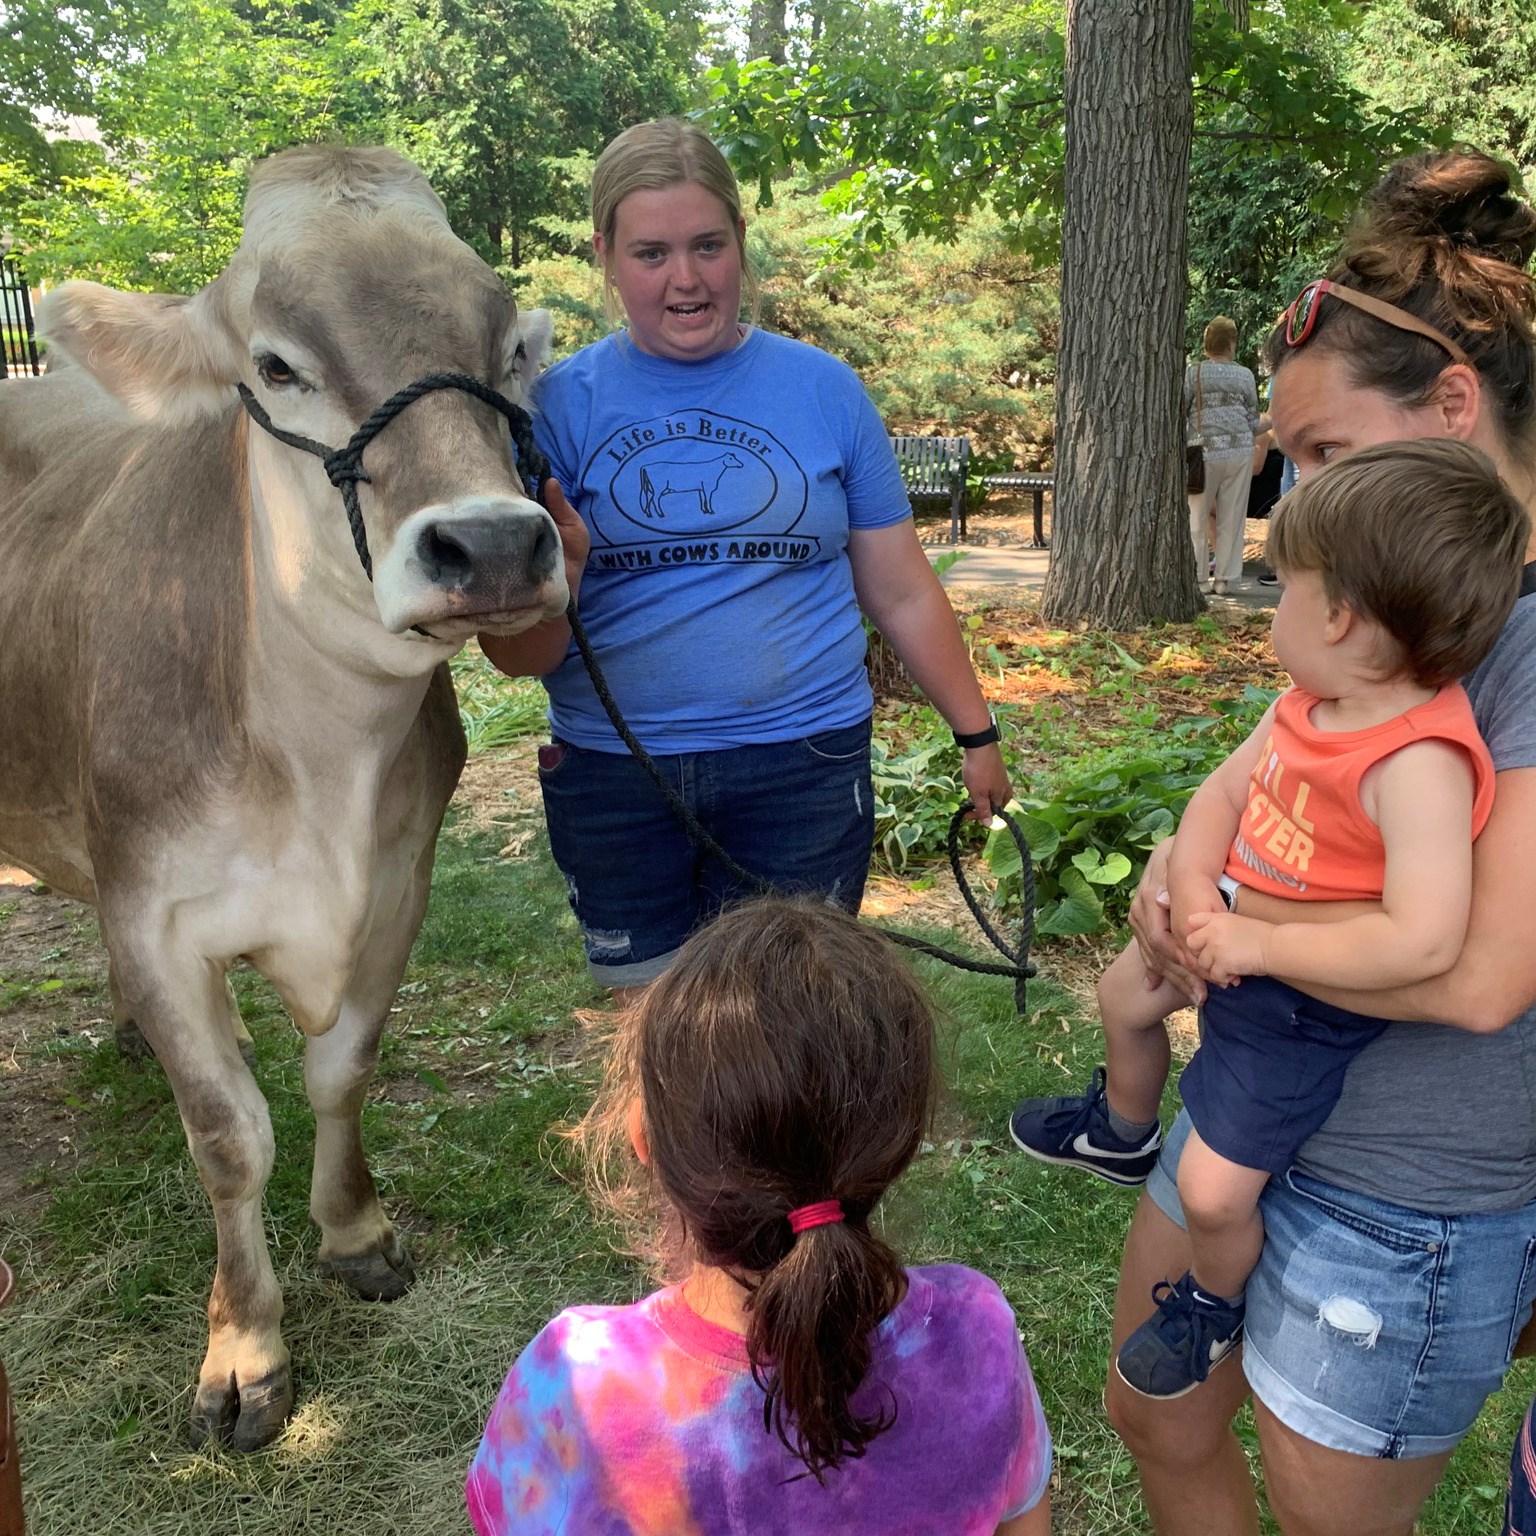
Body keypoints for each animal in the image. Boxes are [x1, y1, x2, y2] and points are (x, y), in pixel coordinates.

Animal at [0, 144, 567, 1451]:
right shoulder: (156, 919)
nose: (493, 547)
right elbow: (230, 1134)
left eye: (509, 349)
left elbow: (341, 1071)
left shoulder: (400, 884)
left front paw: (356, 1237)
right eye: (274, 366)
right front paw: (245, 1349)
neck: (320, 770)